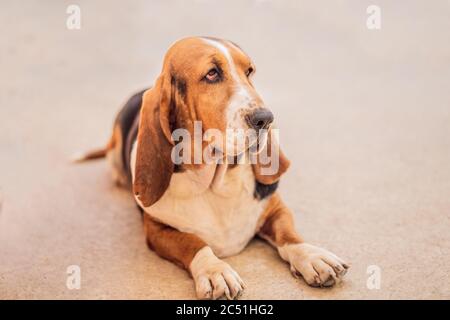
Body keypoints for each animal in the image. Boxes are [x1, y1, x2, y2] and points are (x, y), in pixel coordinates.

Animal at [77, 37, 350, 300]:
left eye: (249, 71)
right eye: (212, 74)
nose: (265, 118)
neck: (217, 182)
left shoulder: (275, 207)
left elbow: (288, 234)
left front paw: (312, 256)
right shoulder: (156, 229)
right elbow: (193, 243)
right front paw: (215, 271)